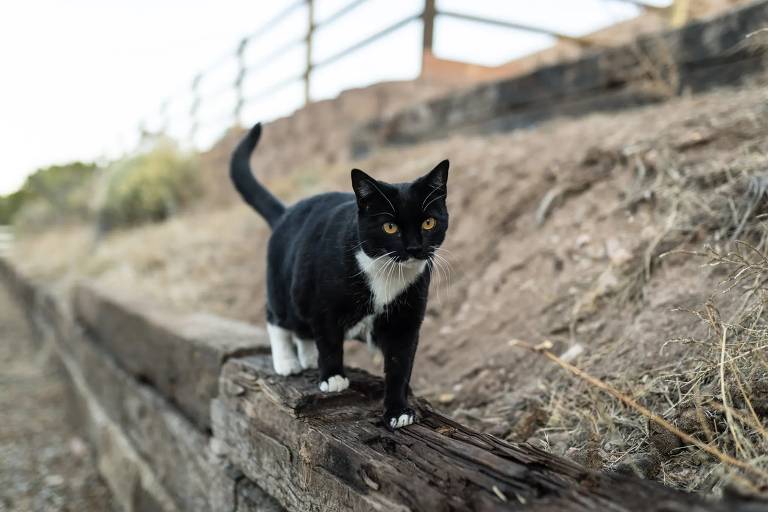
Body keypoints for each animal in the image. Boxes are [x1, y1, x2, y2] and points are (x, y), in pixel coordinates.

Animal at [230, 123, 450, 428]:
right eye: (390, 227)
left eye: (428, 222)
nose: (415, 247)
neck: (386, 271)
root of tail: (287, 212)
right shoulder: (323, 306)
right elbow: (330, 340)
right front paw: (333, 377)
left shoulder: (406, 320)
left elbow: (400, 364)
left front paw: (398, 410)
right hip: (285, 291)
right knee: (277, 318)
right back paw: (288, 362)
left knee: (303, 331)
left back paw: (309, 358)